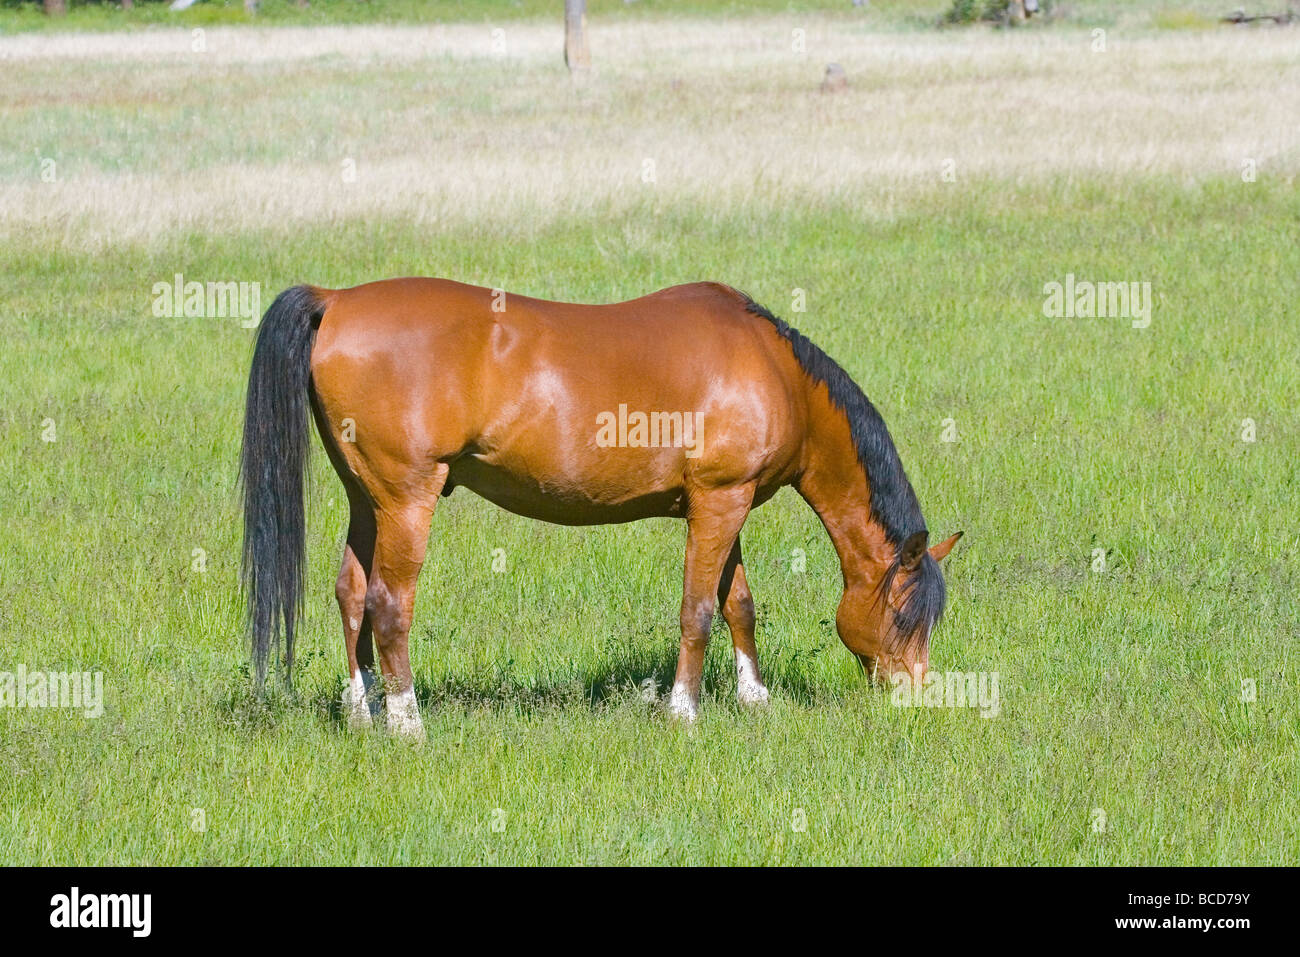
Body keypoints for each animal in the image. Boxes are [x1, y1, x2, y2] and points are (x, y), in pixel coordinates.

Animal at [241, 280, 956, 738]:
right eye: (906, 617)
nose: (914, 697)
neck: (774, 371)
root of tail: (336, 300)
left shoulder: (724, 505)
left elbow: (738, 604)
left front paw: (755, 700)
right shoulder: (721, 500)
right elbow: (698, 610)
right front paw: (683, 713)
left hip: (366, 499)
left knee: (352, 592)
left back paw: (363, 714)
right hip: (406, 498)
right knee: (389, 604)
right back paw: (407, 724)